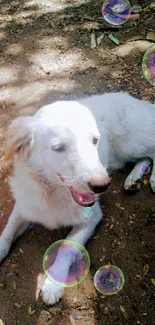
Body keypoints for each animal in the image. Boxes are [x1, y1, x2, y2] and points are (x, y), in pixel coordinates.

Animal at [0, 91, 155, 304]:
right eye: (58, 148)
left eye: (95, 140)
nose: (102, 185)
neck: (52, 192)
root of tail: (136, 100)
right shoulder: (26, 206)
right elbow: (8, 229)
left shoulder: (91, 217)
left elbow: (67, 246)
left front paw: (53, 284)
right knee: (145, 158)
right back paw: (133, 179)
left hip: (131, 144)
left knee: (152, 152)